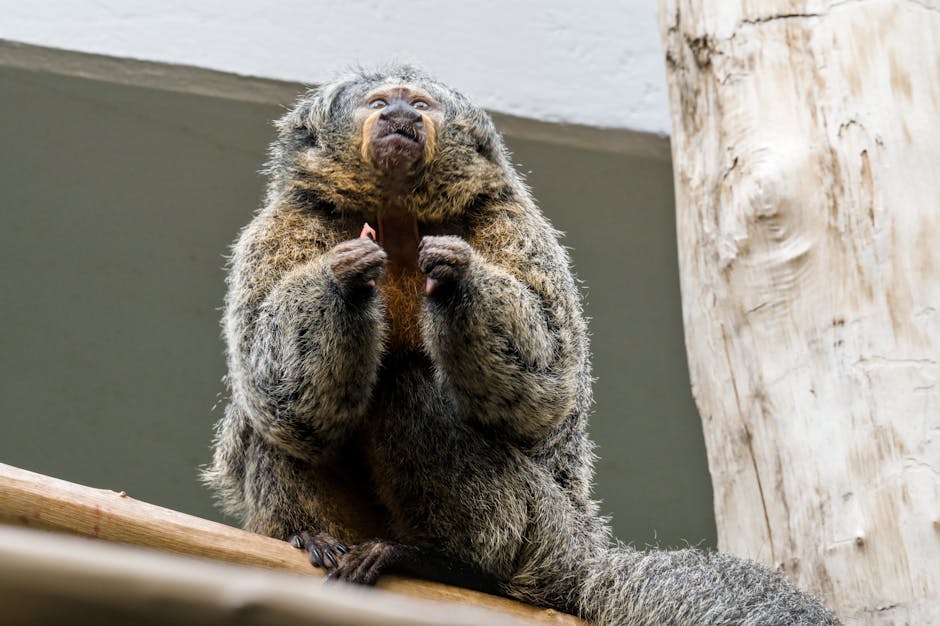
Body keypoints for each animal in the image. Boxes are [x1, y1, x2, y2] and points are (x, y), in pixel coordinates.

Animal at [204, 66, 839, 625]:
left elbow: (545, 388)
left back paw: (452, 565)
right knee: (274, 420)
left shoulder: (514, 223)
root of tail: (582, 551)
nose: (401, 114)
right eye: (379, 103)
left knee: (407, 387)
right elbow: (278, 391)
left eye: (421, 104)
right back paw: (314, 536)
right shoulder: (282, 226)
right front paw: (348, 275)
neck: (397, 216)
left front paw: (455, 273)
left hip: (542, 526)